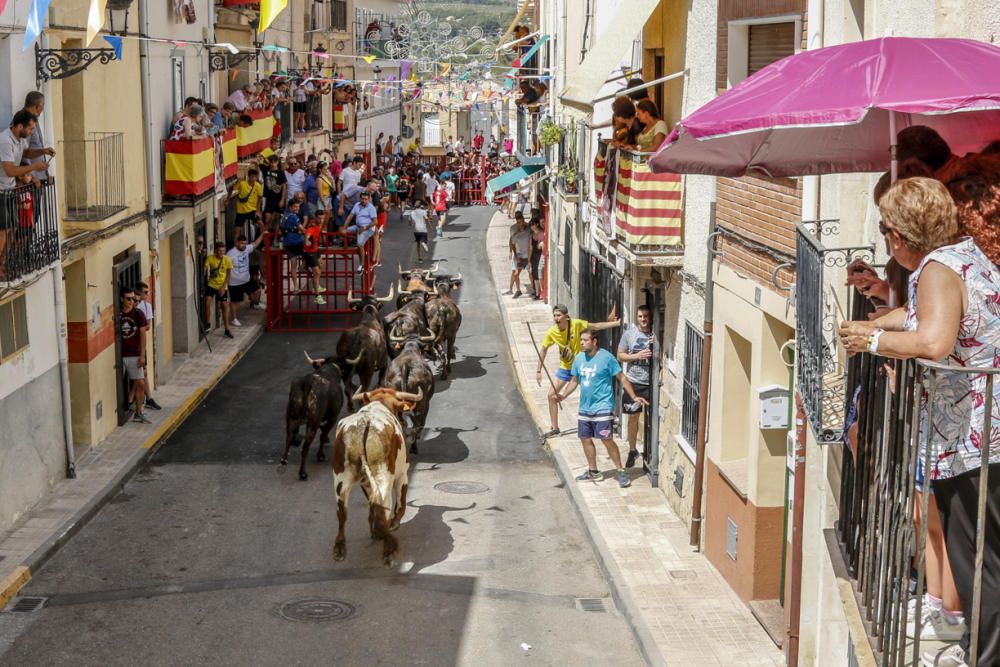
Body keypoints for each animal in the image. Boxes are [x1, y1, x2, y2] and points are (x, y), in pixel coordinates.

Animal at [334, 384, 424, 568]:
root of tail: (363, 425)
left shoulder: (366, 483)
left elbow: (371, 504)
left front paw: (374, 530)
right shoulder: (402, 473)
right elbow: (401, 504)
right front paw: (393, 525)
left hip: (341, 478)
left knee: (342, 512)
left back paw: (340, 548)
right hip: (384, 478)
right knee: (384, 510)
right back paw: (389, 550)